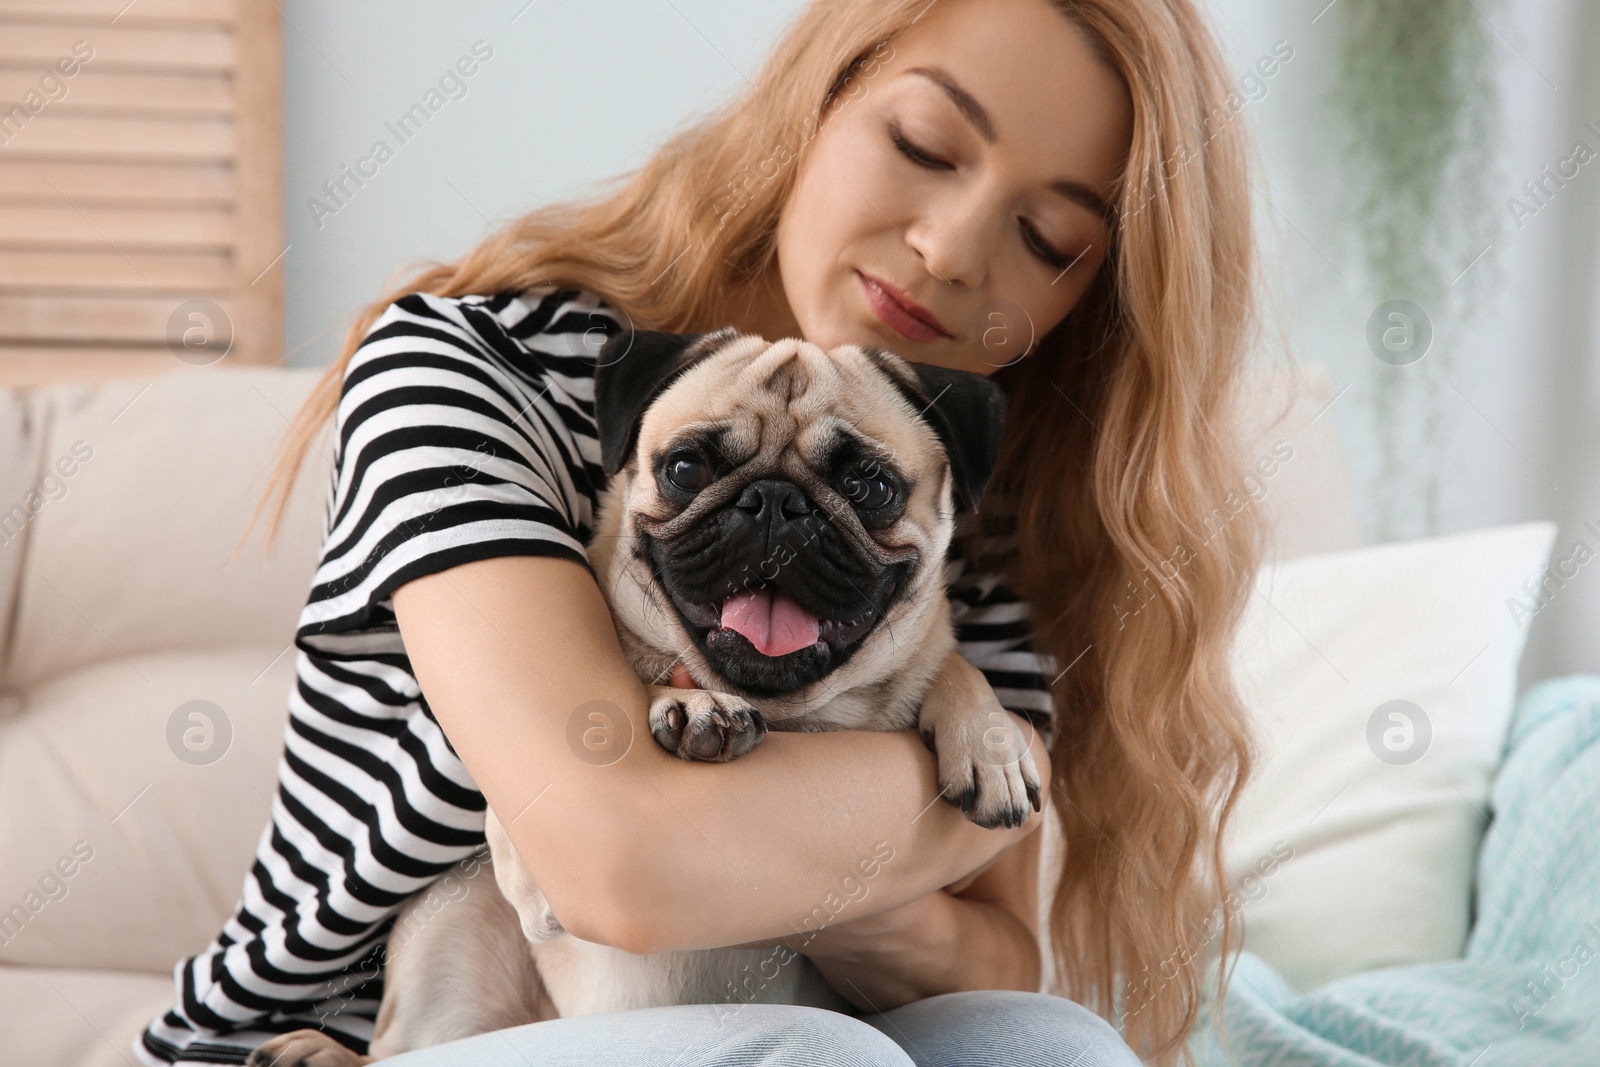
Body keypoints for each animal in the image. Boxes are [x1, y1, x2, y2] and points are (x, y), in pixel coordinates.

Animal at [249, 329, 1043, 1062]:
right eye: (687, 467)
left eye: (870, 487)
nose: (775, 502)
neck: (790, 715)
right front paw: (691, 705)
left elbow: (951, 664)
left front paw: (990, 744)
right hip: (459, 921)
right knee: (401, 1048)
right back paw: (319, 1050)